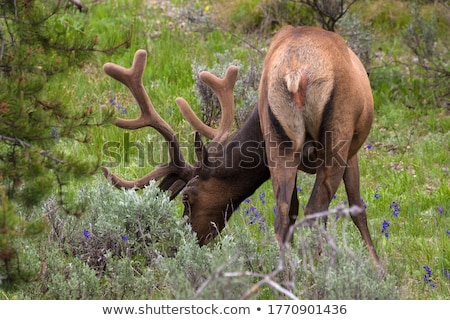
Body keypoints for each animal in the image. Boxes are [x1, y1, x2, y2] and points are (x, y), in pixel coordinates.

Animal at [103, 26, 384, 268]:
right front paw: (378, 267)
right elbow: (357, 208)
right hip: (336, 137)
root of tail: (294, 73)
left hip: (281, 145)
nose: (180, 245)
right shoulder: (351, 151)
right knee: (314, 211)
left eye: (185, 196)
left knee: (284, 216)